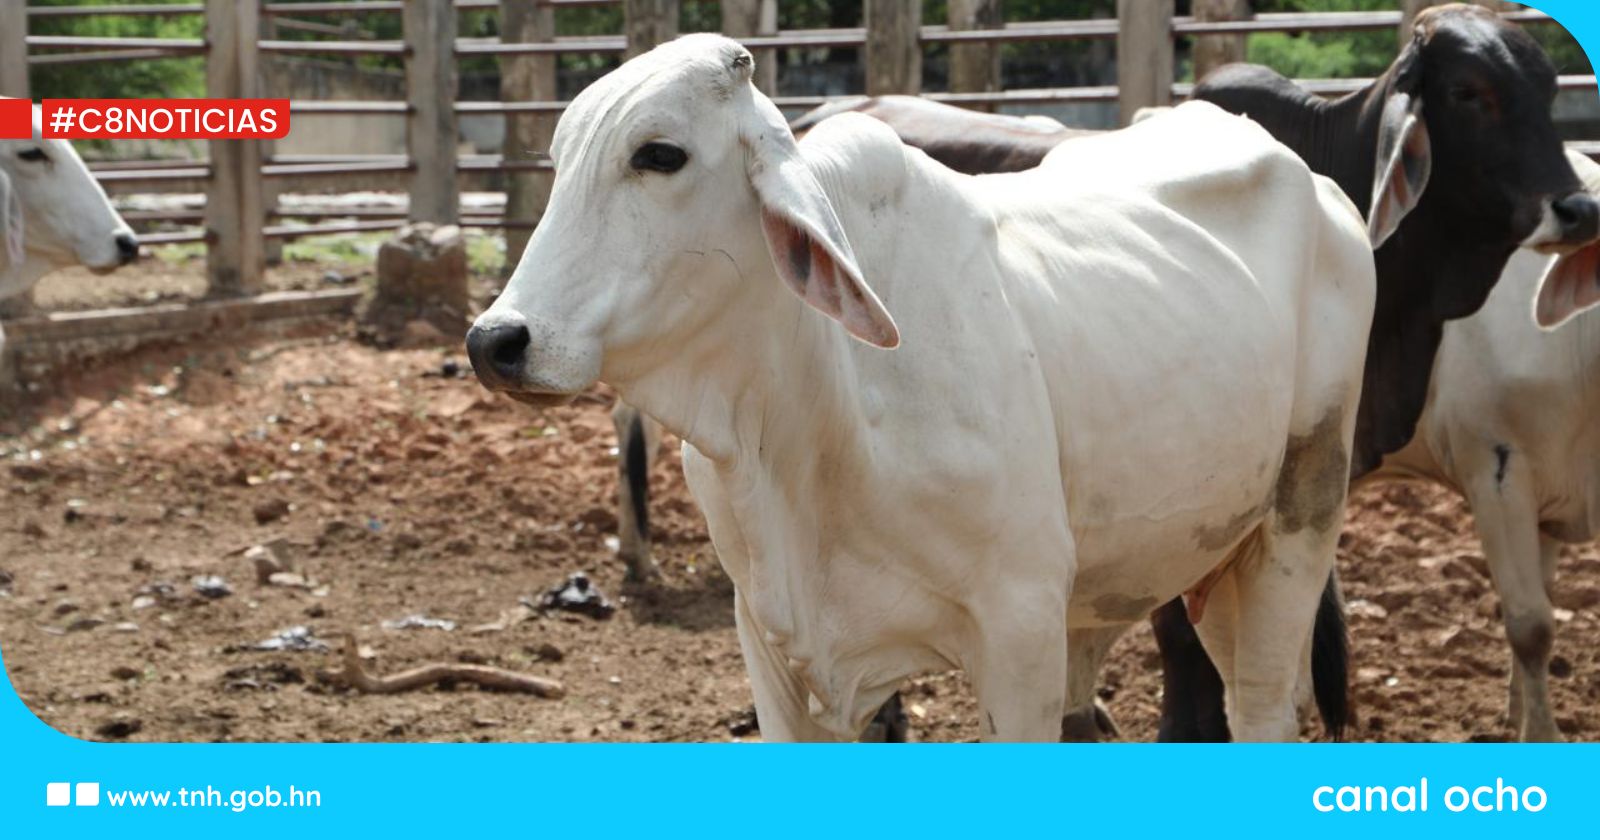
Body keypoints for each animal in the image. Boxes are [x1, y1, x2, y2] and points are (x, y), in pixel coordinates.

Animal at [467, 36, 1376, 736]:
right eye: (560, 160)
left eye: (660, 154)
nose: (495, 341)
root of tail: (1323, 188)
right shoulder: (773, 647)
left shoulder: (1019, 634)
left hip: (1299, 517)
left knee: (1261, 707)